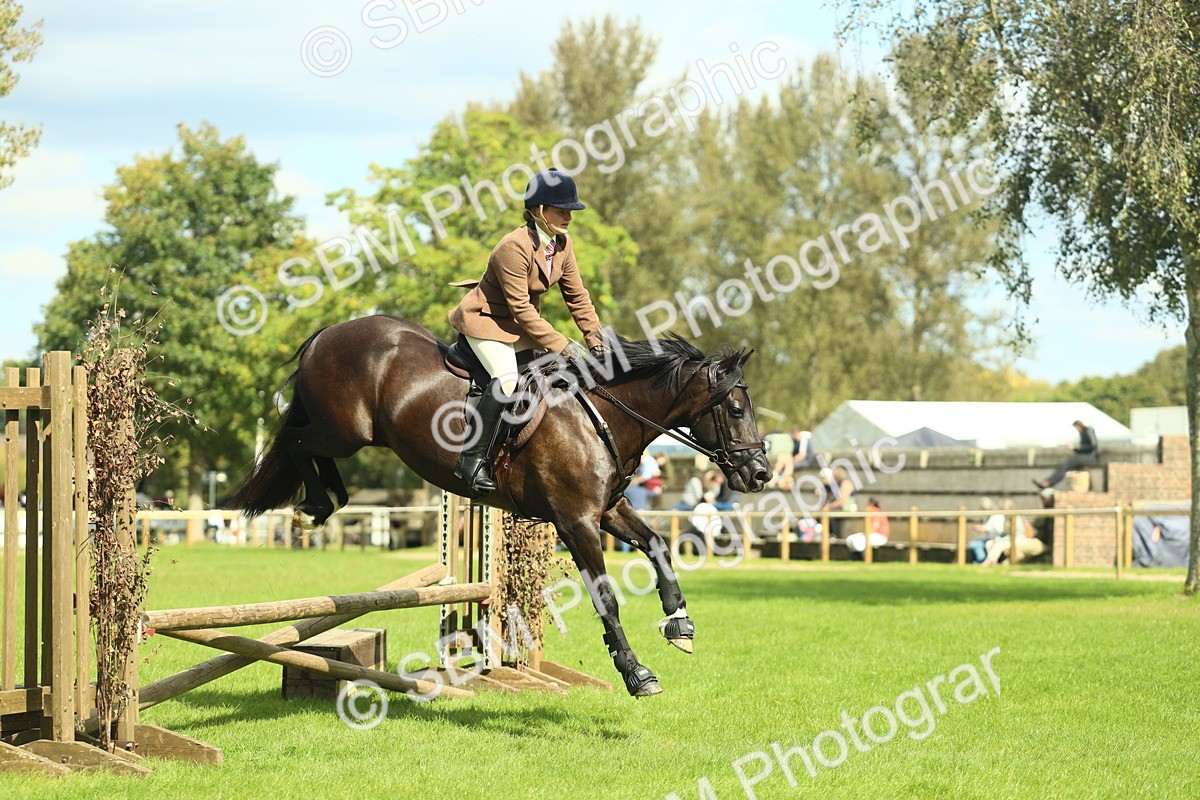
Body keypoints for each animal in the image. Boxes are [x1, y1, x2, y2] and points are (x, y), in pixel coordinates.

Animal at [227, 315, 771, 696]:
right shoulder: (576, 522)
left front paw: (679, 624)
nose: (761, 473)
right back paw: (314, 507)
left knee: (306, 447)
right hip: (345, 429)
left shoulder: (607, 512)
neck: (602, 413)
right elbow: (607, 598)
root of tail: (329, 332)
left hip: (353, 433)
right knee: (296, 442)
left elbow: (658, 544)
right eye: (735, 409)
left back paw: (326, 502)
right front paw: (636, 673)